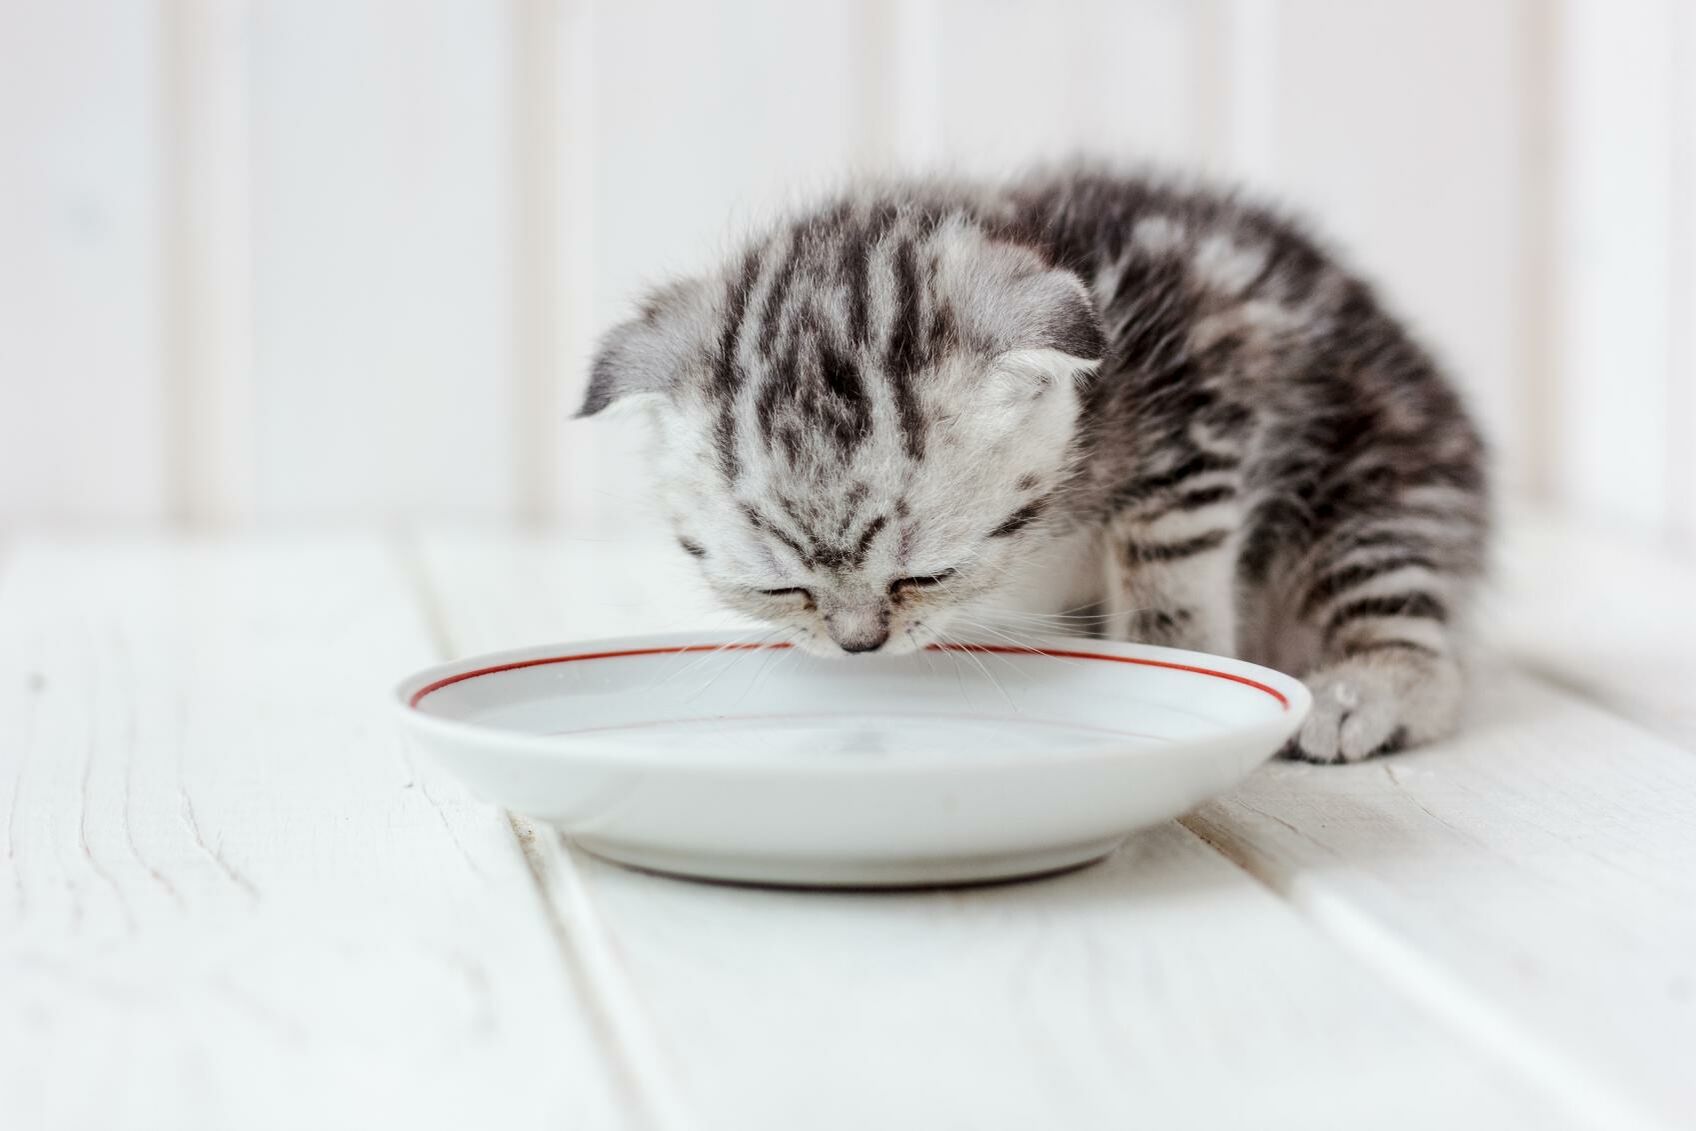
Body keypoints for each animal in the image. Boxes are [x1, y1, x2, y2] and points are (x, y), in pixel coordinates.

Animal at [580, 167, 1485, 766]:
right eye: (781, 590)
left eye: (926, 574)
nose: (860, 646)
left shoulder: (1203, 398)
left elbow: (1169, 562)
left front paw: (1185, 664)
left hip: (1371, 484)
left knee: (1412, 633)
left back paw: (1361, 692)